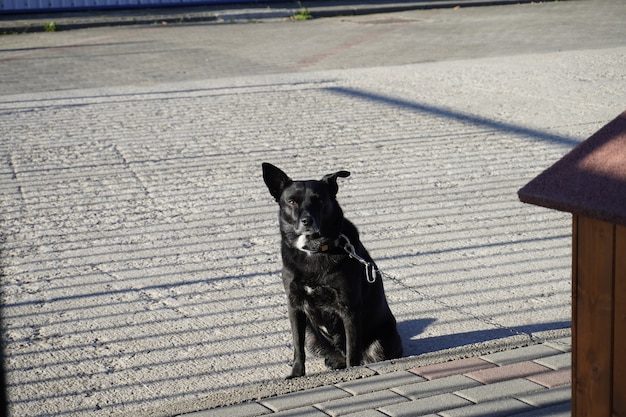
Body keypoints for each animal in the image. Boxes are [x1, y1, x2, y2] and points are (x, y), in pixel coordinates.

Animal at [262, 162, 400, 376]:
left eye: (318, 200)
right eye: (292, 201)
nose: (307, 221)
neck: (314, 250)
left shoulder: (349, 308)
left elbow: (353, 350)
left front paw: (353, 372)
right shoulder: (294, 305)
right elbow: (297, 347)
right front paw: (296, 374)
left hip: (380, 341)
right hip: (312, 335)